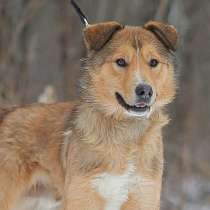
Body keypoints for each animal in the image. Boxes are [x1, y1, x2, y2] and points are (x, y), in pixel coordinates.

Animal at [0, 0, 178, 209]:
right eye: (120, 61)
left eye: (153, 62)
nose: (145, 91)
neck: (126, 132)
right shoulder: (85, 195)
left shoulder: (143, 195)